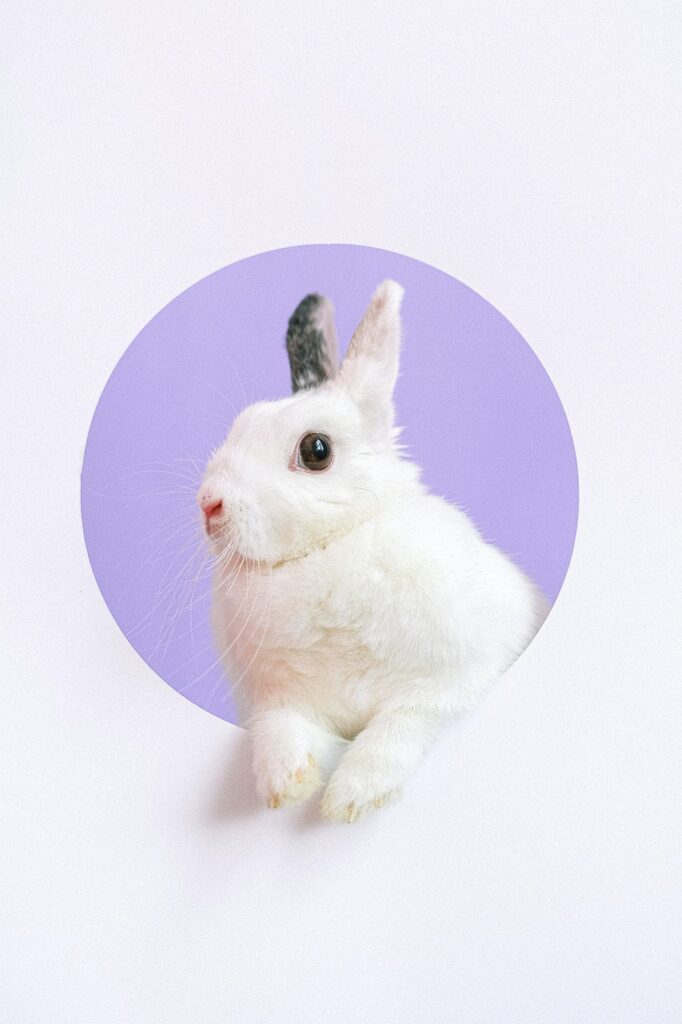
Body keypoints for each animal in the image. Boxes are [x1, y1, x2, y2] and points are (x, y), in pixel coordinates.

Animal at [197, 280, 548, 822]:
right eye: (242, 425)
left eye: (316, 450)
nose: (208, 504)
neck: (329, 548)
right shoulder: (276, 699)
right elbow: (281, 729)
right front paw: (285, 785)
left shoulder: (453, 681)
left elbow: (399, 728)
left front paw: (351, 796)